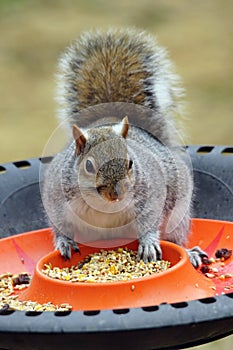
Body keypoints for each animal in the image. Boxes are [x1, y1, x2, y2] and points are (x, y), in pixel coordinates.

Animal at [41, 28, 206, 268]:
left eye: (130, 163)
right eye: (88, 166)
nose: (116, 195)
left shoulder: (151, 193)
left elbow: (149, 220)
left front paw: (148, 243)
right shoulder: (57, 197)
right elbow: (59, 224)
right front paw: (64, 242)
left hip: (178, 213)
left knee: (175, 237)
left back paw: (189, 252)